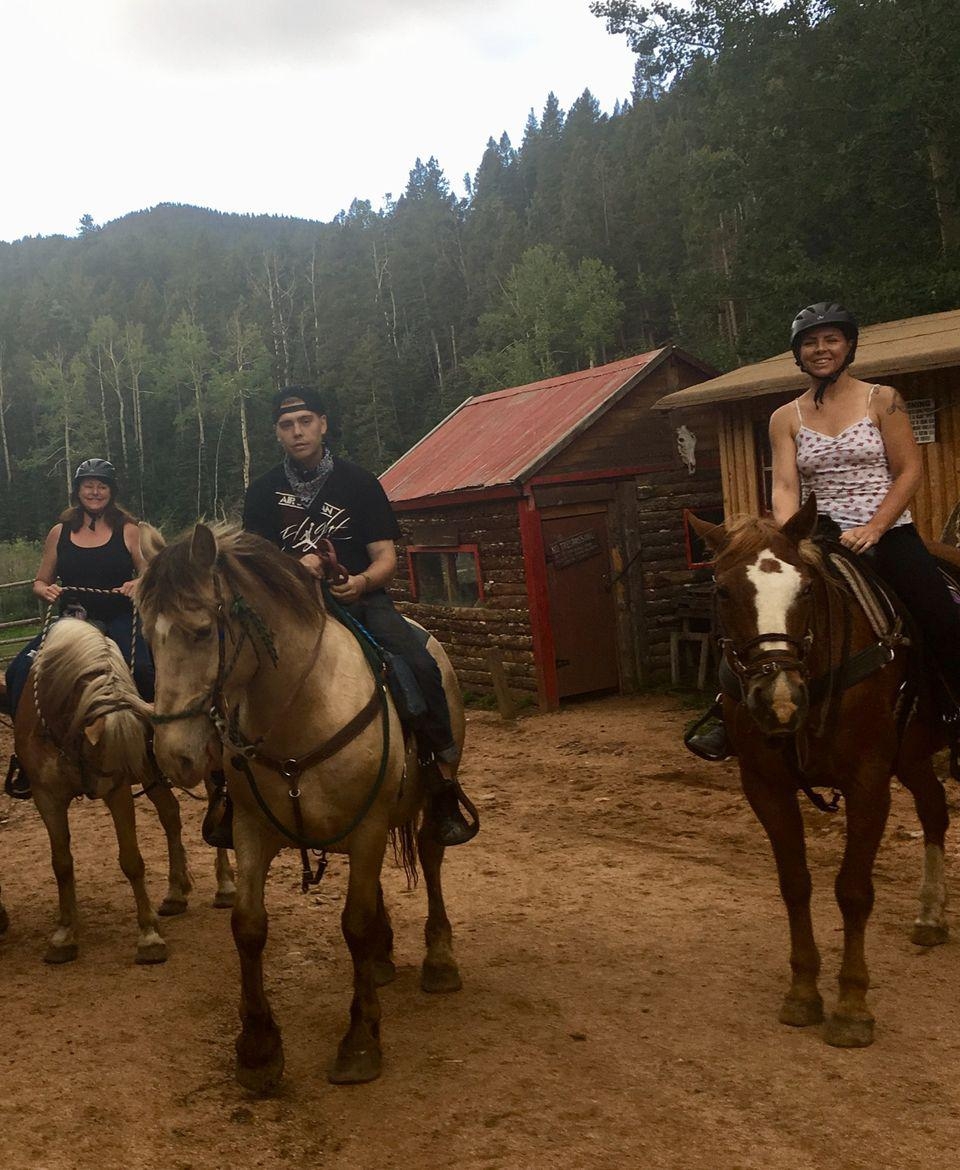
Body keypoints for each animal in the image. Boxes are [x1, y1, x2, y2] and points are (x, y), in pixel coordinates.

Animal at [13, 616, 233, 964]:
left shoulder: (116, 790)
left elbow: (131, 859)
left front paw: (149, 936)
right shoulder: (46, 796)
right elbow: (61, 863)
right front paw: (64, 935)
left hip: (206, 763)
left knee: (215, 805)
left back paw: (225, 886)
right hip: (152, 776)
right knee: (170, 815)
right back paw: (175, 894)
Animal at [137, 524, 466, 1093]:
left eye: (201, 632)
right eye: (147, 636)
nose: (175, 756)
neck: (302, 706)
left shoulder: (368, 827)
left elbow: (354, 923)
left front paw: (360, 1042)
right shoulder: (251, 830)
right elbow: (248, 925)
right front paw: (258, 1048)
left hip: (425, 799)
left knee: (429, 855)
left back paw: (439, 959)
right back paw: (382, 959)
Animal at [690, 493, 951, 1047]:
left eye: (806, 588)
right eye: (722, 591)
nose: (779, 698)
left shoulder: (869, 783)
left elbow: (853, 891)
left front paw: (852, 1007)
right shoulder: (766, 787)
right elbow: (795, 884)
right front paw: (803, 993)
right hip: (912, 756)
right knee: (935, 810)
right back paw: (930, 915)